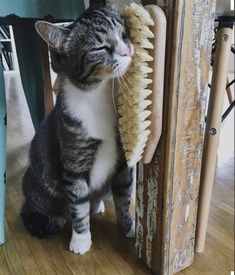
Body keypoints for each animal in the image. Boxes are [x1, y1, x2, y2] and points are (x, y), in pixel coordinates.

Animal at [20, 4, 135, 256]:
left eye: (124, 34)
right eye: (101, 47)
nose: (128, 52)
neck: (99, 94)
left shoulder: (123, 162)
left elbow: (124, 196)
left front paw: (129, 228)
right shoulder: (74, 161)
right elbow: (78, 202)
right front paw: (81, 239)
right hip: (37, 185)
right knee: (40, 208)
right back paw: (58, 218)